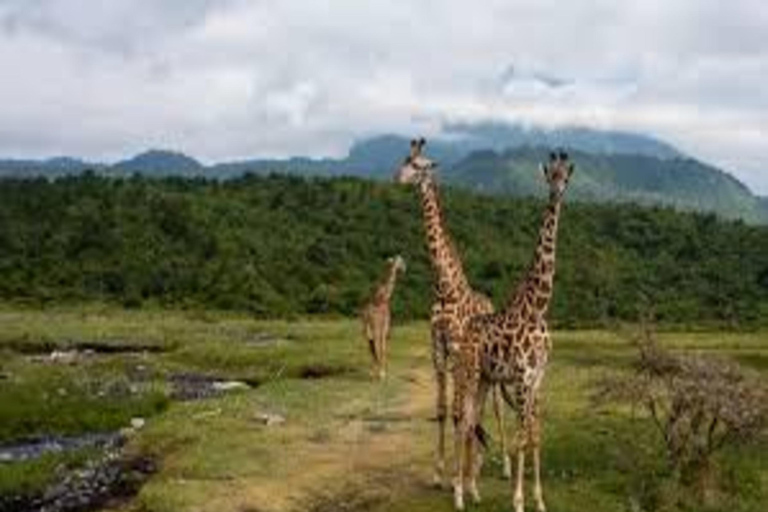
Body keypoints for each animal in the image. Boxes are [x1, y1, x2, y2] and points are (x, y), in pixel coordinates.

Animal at [396, 138, 510, 490]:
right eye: (404, 160)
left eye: (420, 166)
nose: (397, 177)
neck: (444, 286)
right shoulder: (438, 349)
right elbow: (444, 409)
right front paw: (439, 472)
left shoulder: (459, 348)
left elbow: (462, 411)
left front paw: (458, 477)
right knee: (478, 407)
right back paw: (479, 461)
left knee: (495, 407)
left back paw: (502, 465)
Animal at [450, 150, 576, 510]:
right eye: (550, 175)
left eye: (566, 176)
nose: (556, 194)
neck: (538, 307)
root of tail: (463, 335)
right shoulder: (520, 378)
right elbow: (521, 438)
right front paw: (518, 501)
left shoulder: (538, 380)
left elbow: (535, 436)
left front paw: (540, 500)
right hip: (469, 373)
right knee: (462, 422)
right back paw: (458, 495)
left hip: (484, 379)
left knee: (471, 422)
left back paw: (471, 492)